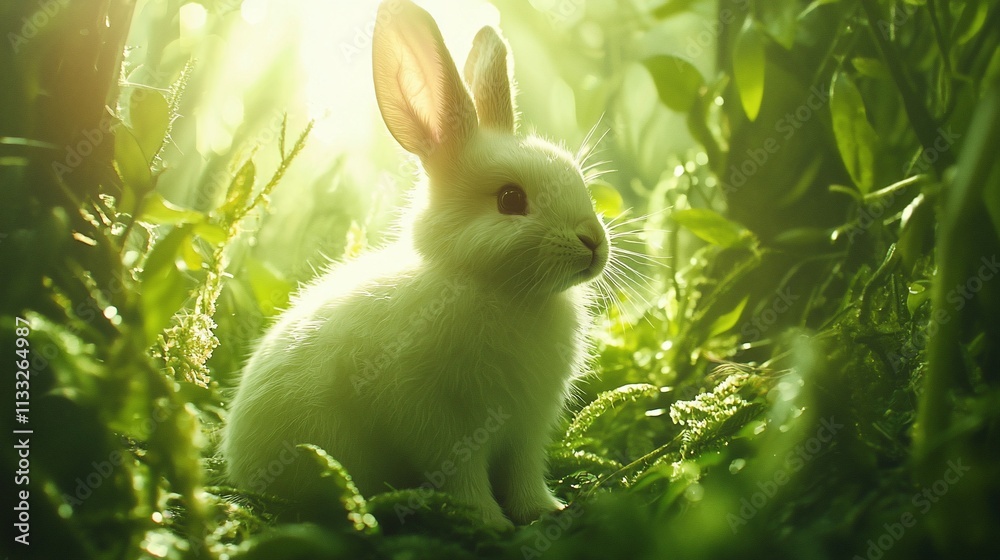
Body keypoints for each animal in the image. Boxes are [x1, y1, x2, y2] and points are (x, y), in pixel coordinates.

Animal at [221, 0, 610, 529]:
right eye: (510, 199)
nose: (594, 243)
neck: (499, 290)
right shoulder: (438, 424)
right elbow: (462, 476)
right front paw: (486, 522)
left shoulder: (527, 430)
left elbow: (524, 474)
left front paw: (545, 510)